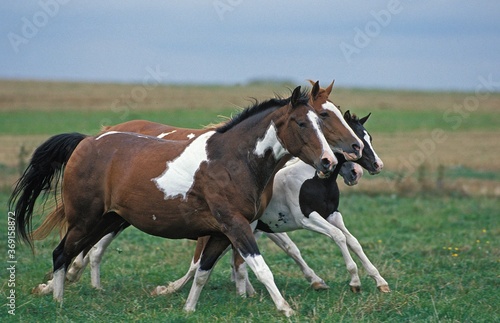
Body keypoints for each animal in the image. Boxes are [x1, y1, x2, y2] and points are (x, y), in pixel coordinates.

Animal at [10, 86, 344, 316]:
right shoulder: (236, 226)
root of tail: (86, 141)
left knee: (74, 253)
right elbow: (261, 268)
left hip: (109, 219)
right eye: (302, 123)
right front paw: (285, 308)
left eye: (321, 121)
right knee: (61, 254)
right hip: (84, 219)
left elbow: (203, 272)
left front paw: (188, 309)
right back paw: (58, 302)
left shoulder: (223, 233)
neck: (232, 161)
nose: (328, 162)